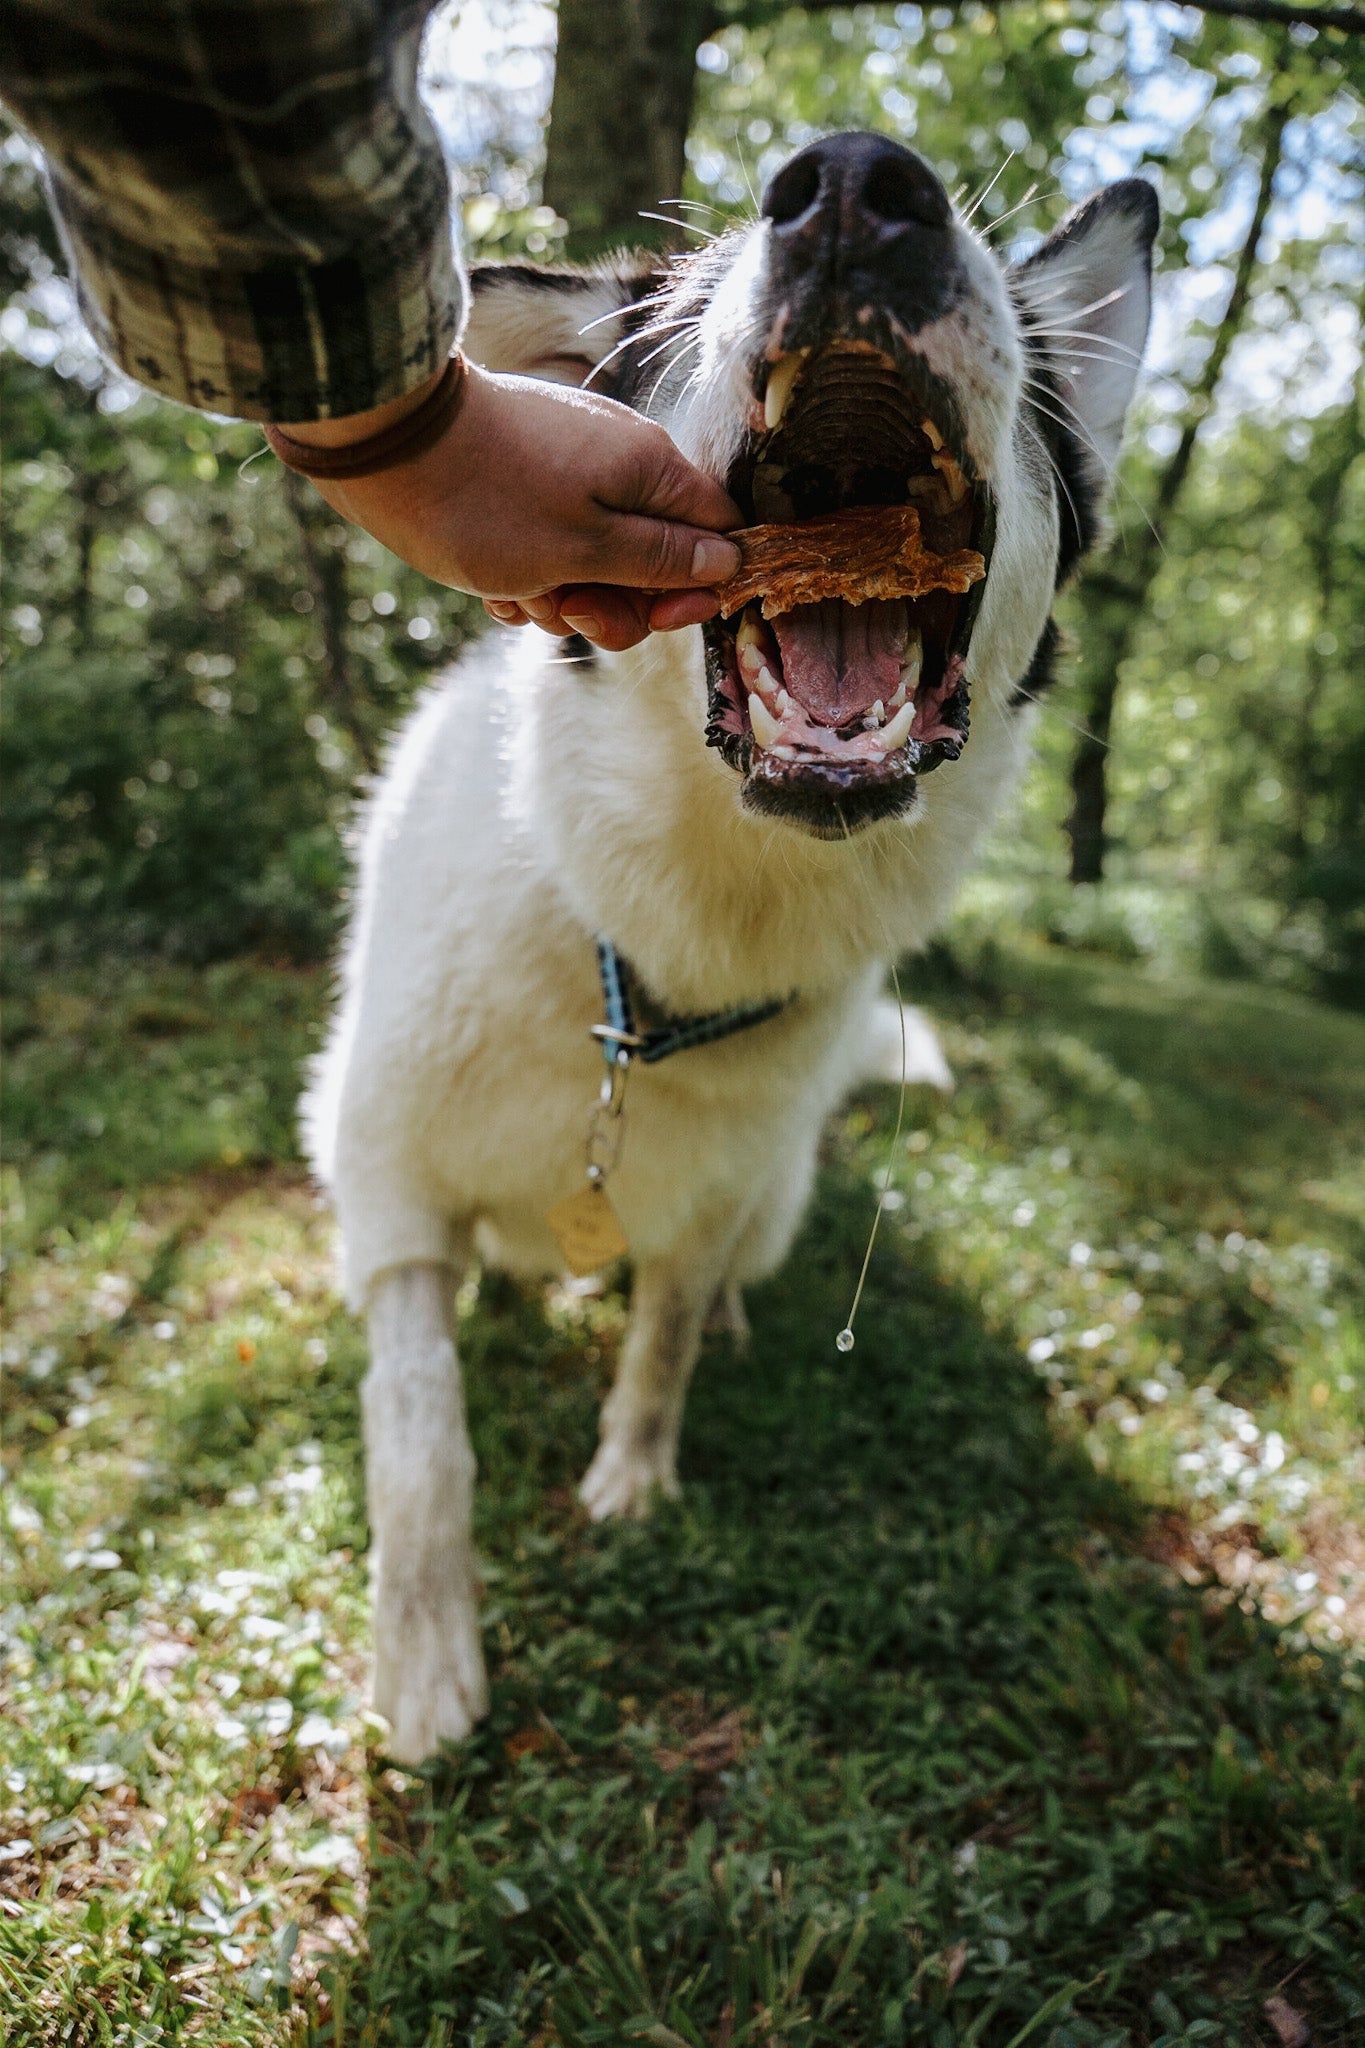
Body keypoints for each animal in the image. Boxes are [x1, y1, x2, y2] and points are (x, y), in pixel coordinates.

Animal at [304, 136, 1162, 1761]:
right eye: (690, 300)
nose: (860, 185)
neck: (662, 943)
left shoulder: (706, 1210)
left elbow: (662, 1344)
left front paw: (634, 1477)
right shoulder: (382, 1178)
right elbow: (416, 1426)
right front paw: (428, 1657)